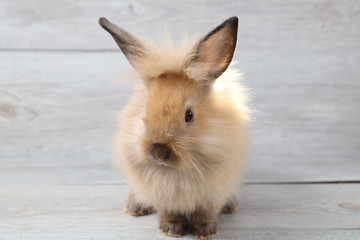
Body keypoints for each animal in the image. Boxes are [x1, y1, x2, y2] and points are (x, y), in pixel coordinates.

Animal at [98, 15, 250, 239]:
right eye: (144, 113)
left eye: (189, 115)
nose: (158, 151)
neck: (175, 172)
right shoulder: (161, 194)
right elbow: (169, 212)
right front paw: (170, 230)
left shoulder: (214, 190)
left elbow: (206, 213)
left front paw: (206, 232)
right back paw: (134, 208)